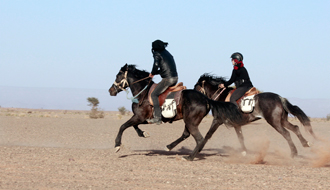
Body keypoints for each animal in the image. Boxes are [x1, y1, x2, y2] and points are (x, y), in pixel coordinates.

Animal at [109, 63, 244, 160]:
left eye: (118, 76)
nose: (111, 91)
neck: (143, 92)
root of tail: (206, 99)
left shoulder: (140, 117)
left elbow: (123, 126)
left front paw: (117, 145)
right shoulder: (142, 118)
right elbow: (133, 126)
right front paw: (143, 134)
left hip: (190, 121)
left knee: (199, 138)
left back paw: (189, 157)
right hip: (190, 121)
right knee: (187, 134)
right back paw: (170, 147)